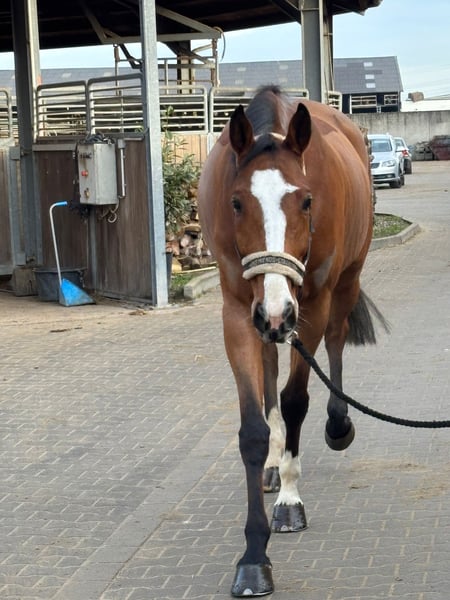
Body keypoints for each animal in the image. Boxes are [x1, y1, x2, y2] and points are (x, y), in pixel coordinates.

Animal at [197, 85, 386, 597]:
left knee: (337, 343)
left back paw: (337, 424)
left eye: (305, 201)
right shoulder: (239, 313)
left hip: (343, 285)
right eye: (236, 202)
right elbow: (253, 428)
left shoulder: (312, 306)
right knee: (269, 372)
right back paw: (272, 463)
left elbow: (297, 399)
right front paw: (253, 558)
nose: (279, 312)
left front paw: (288, 501)